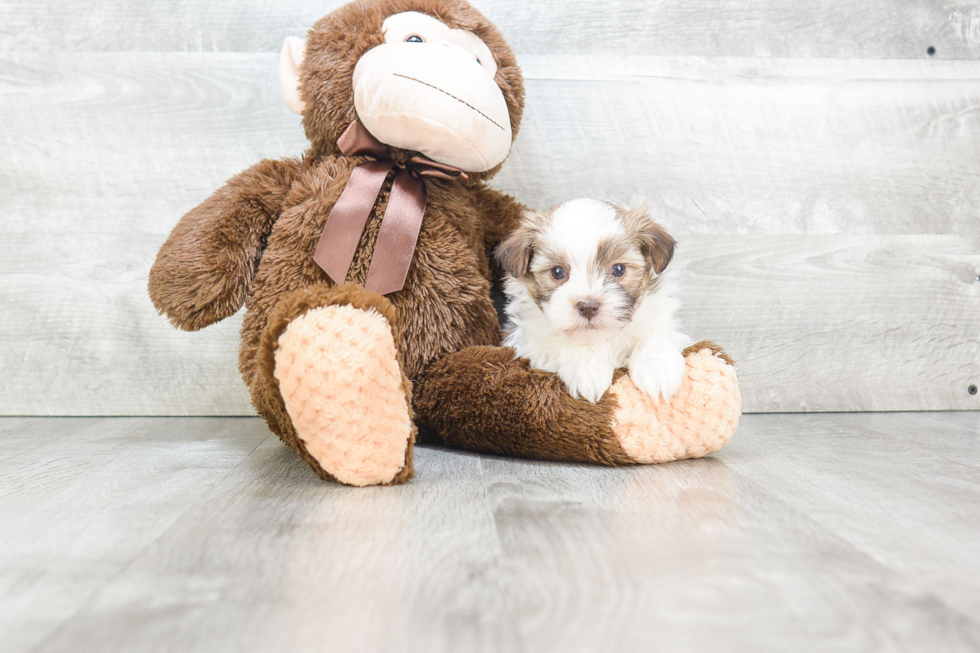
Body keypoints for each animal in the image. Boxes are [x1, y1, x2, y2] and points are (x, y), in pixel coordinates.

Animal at [494, 197, 692, 402]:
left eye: (618, 269)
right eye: (557, 272)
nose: (588, 307)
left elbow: (655, 332)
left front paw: (658, 368)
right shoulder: (532, 345)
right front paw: (587, 368)